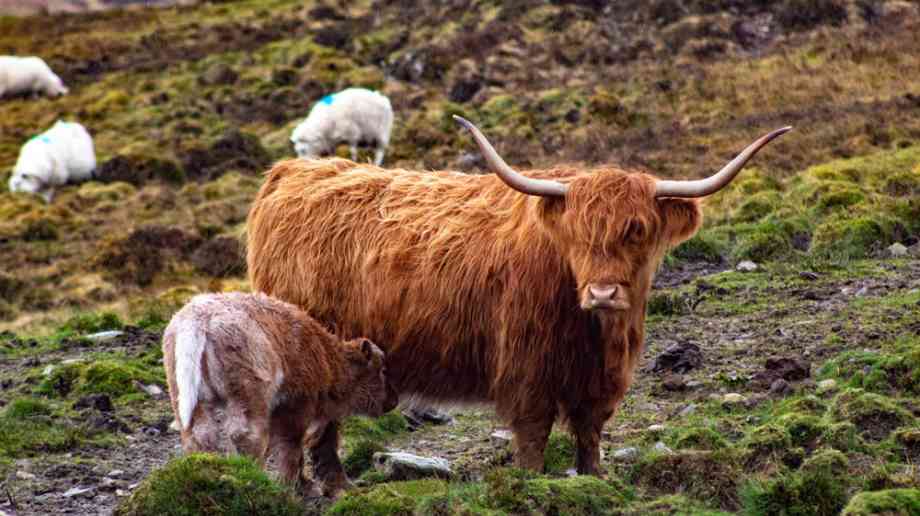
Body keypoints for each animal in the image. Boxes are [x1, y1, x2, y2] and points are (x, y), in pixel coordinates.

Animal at [246, 116, 790, 477]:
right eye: (577, 234)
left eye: (636, 230)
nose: (603, 291)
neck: (594, 333)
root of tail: (290, 173)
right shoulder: (527, 372)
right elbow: (532, 438)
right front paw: (532, 483)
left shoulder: (600, 382)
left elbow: (589, 435)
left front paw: (594, 480)